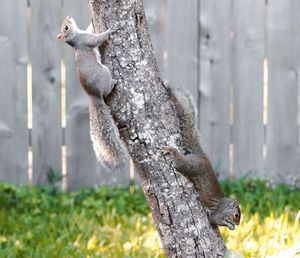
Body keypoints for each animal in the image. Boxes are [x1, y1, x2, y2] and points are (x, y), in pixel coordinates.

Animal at [56, 16, 127, 169]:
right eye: (66, 28)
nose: (68, 17)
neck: (76, 35)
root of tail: (93, 95)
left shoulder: (85, 33)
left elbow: (90, 29)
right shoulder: (86, 40)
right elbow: (97, 39)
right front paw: (110, 30)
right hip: (104, 74)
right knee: (107, 91)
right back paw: (113, 83)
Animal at [162, 86, 241, 230]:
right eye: (236, 215)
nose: (237, 224)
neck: (224, 207)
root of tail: (201, 155)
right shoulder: (218, 213)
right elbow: (214, 220)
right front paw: (230, 225)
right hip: (193, 166)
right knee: (181, 163)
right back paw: (172, 150)